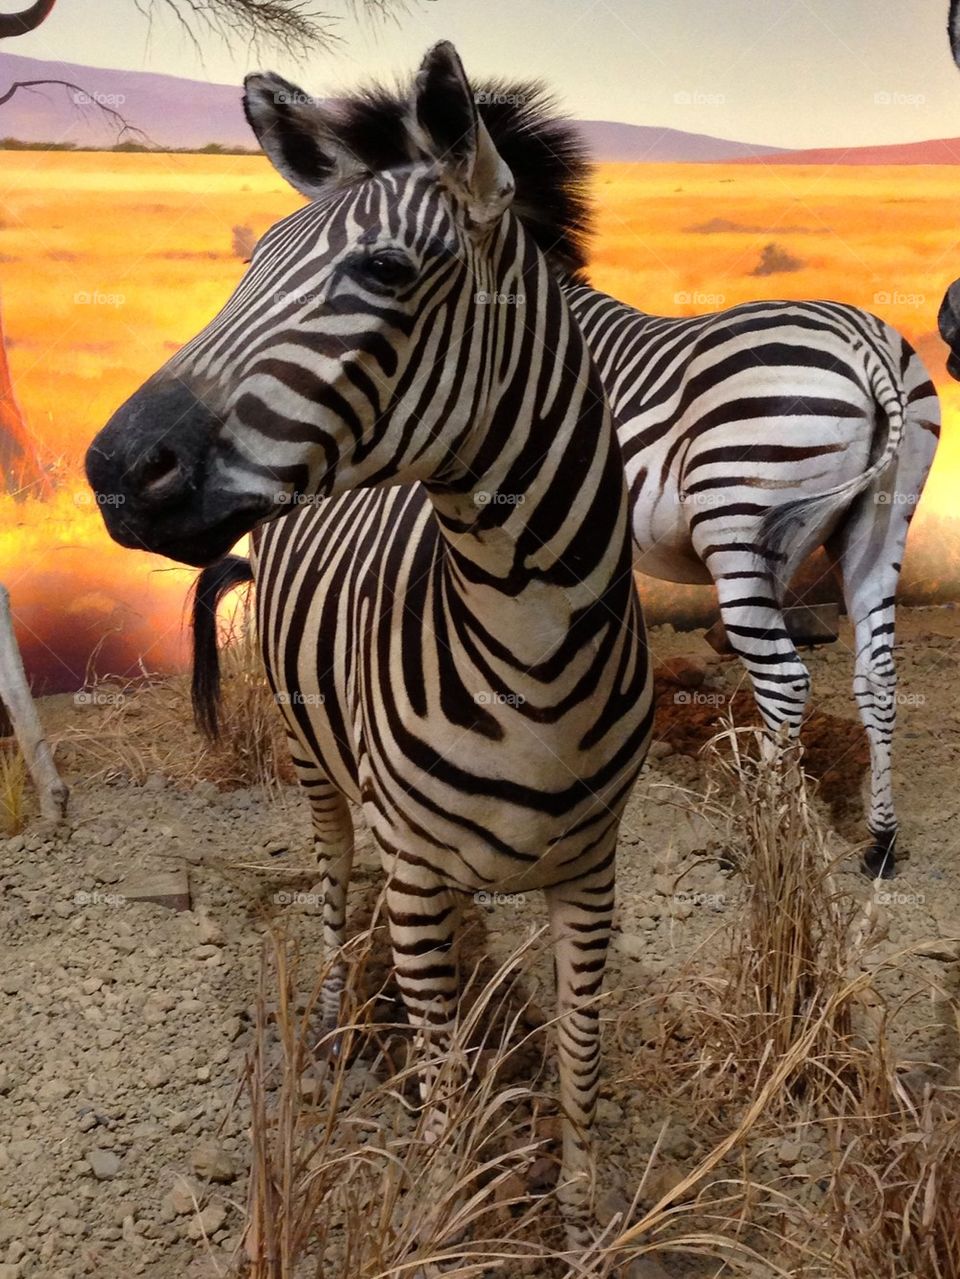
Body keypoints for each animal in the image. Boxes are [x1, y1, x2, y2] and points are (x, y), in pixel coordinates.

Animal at [84, 42, 654, 1251]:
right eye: (248, 266)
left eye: (387, 272)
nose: (111, 471)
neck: (531, 652)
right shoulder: (420, 871)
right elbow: (441, 1080)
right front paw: (442, 1217)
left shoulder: (592, 873)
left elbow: (579, 1060)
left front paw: (583, 1221)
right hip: (318, 767)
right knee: (336, 884)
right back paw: (342, 1028)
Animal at [193, 75, 938, 879]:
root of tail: (867, 346)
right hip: (880, 520)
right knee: (878, 676)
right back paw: (880, 841)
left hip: (738, 522)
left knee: (785, 682)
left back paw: (763, 836)